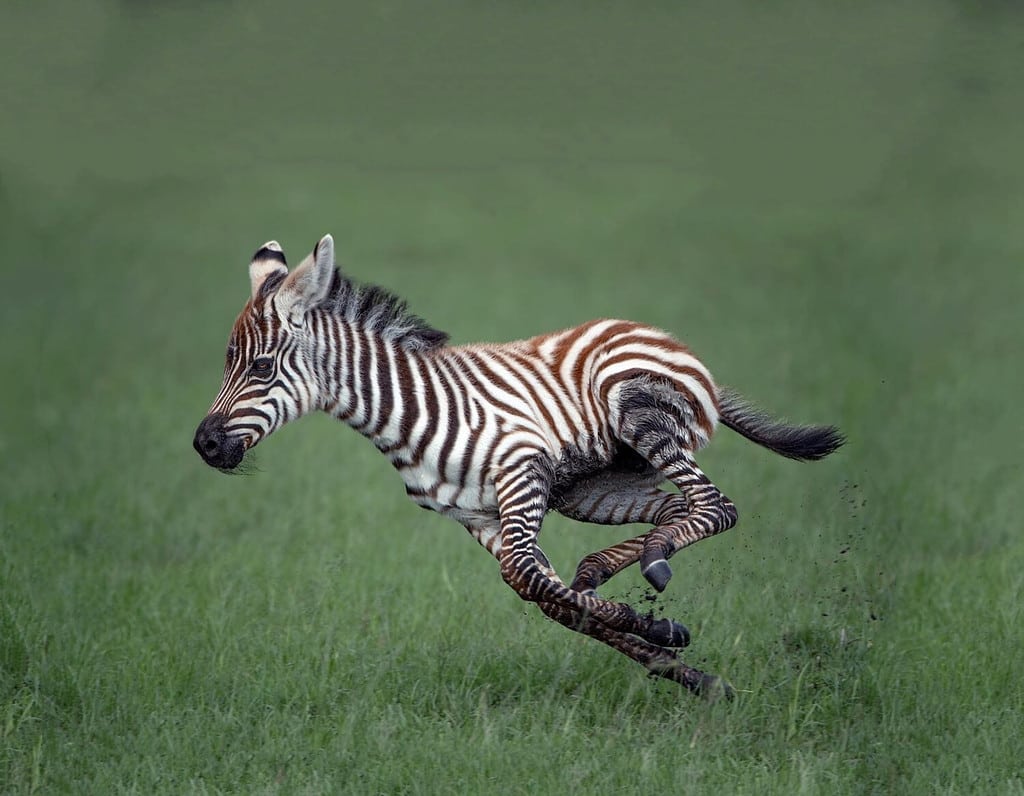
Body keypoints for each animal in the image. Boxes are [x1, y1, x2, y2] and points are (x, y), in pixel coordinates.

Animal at [193, 234, 844, 697]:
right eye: (230, 366)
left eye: (259, 369)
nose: (204, 446)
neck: (407, 412)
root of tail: (663, 338)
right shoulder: (477, 517)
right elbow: (545, 595)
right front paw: (673, 652)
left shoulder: (521, 474)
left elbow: (529, 580)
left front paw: (659, 632)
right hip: (592, 489)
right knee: (676, 508)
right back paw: (608, 568)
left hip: (634, 413)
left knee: (715, 505)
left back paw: (652, 561)